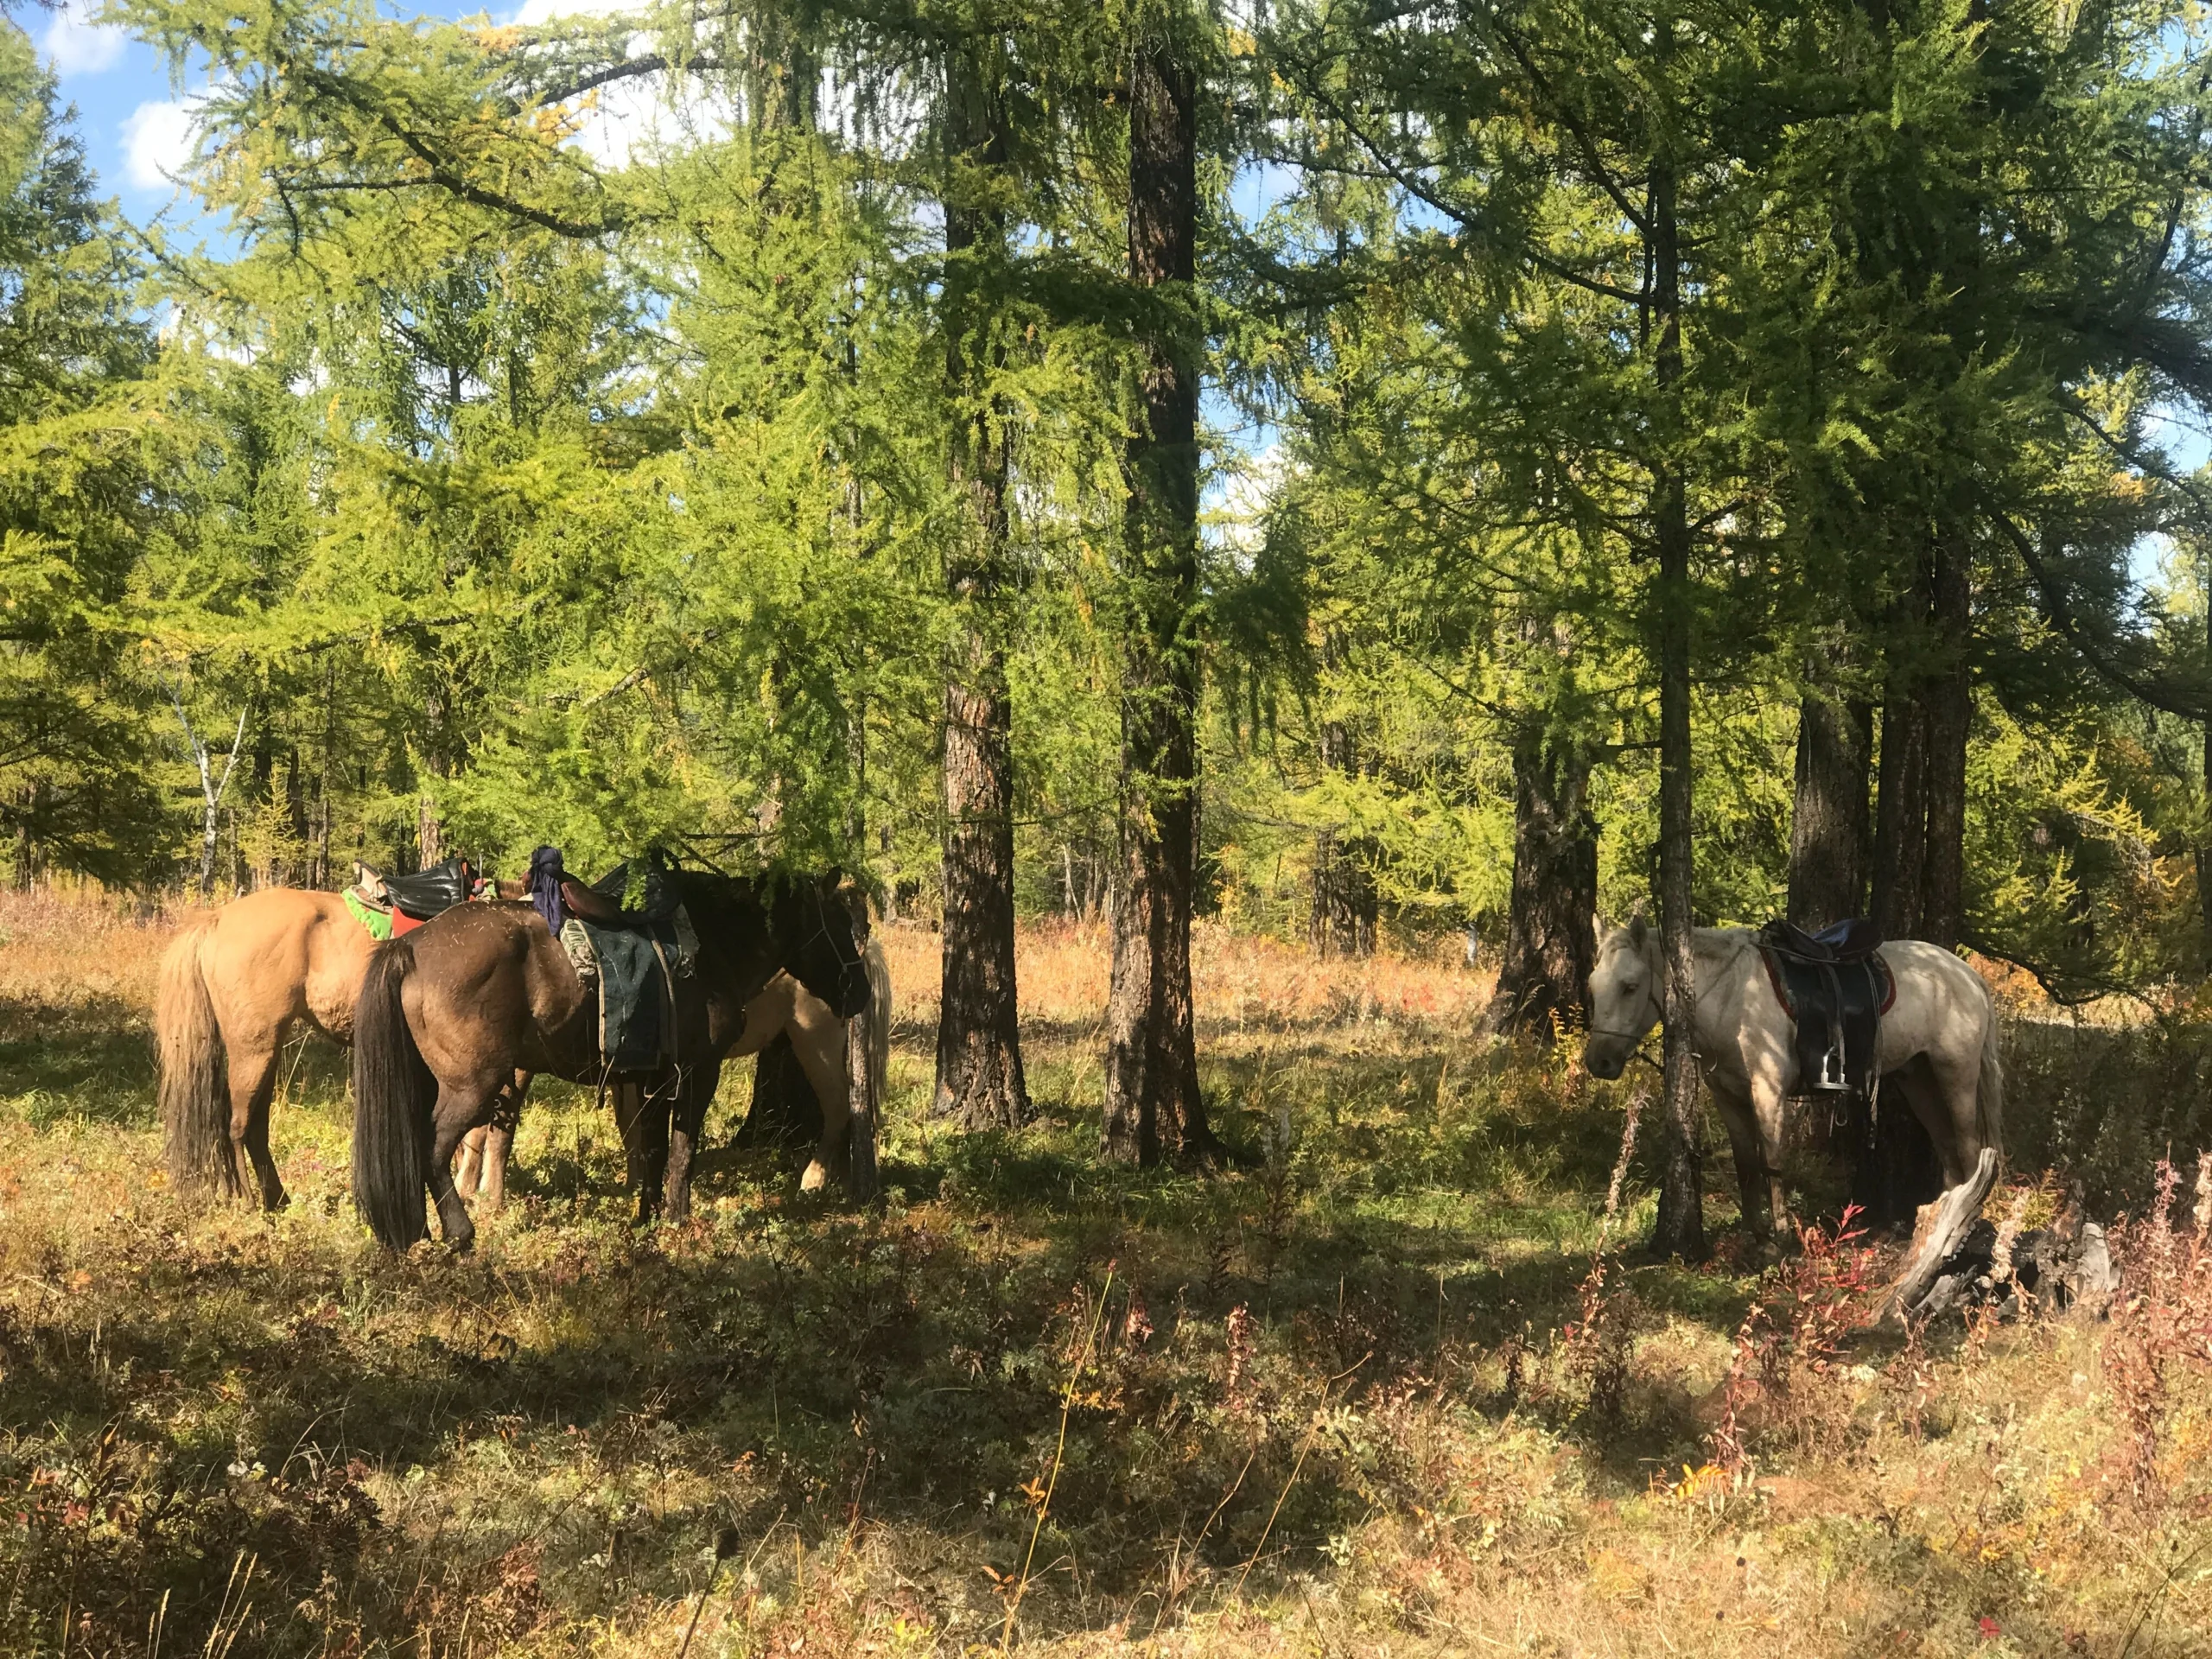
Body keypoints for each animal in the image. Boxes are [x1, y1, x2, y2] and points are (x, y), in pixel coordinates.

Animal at [452, 933, 893, 1206]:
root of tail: (860, 950)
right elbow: (631, 1128)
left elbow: (491, 1131)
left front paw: (478, 1191)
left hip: (816, 1044)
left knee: (841, 1109)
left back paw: (814, 1179)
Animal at [1581, 917, 2003, 1237]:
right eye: (1593, 985)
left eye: (1630, 987)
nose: (1599, 1062)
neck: (1732, 996)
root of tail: (1968, 975)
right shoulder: (1728, 1097)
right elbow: (1746, 1166)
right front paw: (1753, 1234)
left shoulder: (1768, 1093)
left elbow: (1772, 1162)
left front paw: (1781, 1235)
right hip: (1919, 1080)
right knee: (1949, 1151)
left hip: (1955, 1075)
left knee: (1968, 1149)